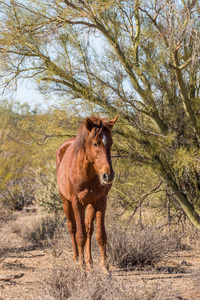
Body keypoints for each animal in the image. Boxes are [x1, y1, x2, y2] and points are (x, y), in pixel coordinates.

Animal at [55, 116, 118, 270]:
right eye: (95, 144)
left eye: (111, 142)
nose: (108, 175)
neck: (86, 174)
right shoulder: (77, 203)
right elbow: (80, 235)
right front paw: (82, 267)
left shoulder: (100, 201)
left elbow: (100, 235)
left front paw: (104, 267)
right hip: (66, 201)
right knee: (72, 228)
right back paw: (77, 258)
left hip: (90, 204)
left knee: (89, 229)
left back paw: (90, 262)